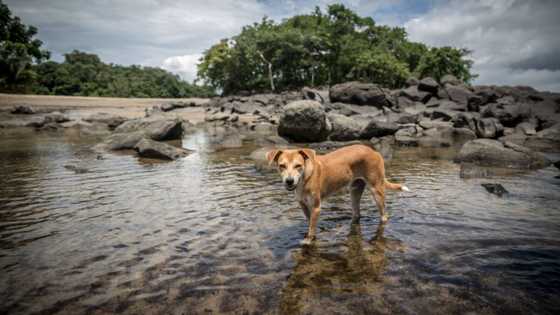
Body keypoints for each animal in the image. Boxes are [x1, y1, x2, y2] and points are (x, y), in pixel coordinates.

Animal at [264, 144, 410, 246]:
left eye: (298, 165)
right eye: (282, 165)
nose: (289, 181)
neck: (304, 178)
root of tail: (374, 151)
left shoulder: (316, 207)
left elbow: (312, 227)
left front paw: (308, 240)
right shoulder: (303, 205)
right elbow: (310, 222)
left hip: (376, 189)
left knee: (384, 215)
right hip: (354, 190)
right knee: (357, 214)